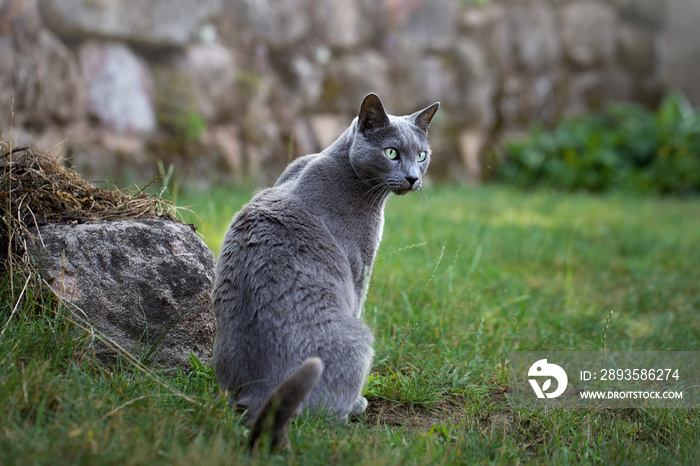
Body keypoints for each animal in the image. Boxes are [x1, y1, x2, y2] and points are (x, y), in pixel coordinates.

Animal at [211, 93, 438, 450]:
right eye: (391, 152)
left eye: (422, 155)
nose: (414, 177)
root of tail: (258, 396)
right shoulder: (360, 264)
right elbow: (358, 299)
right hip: (359, 339)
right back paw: (356, 405)